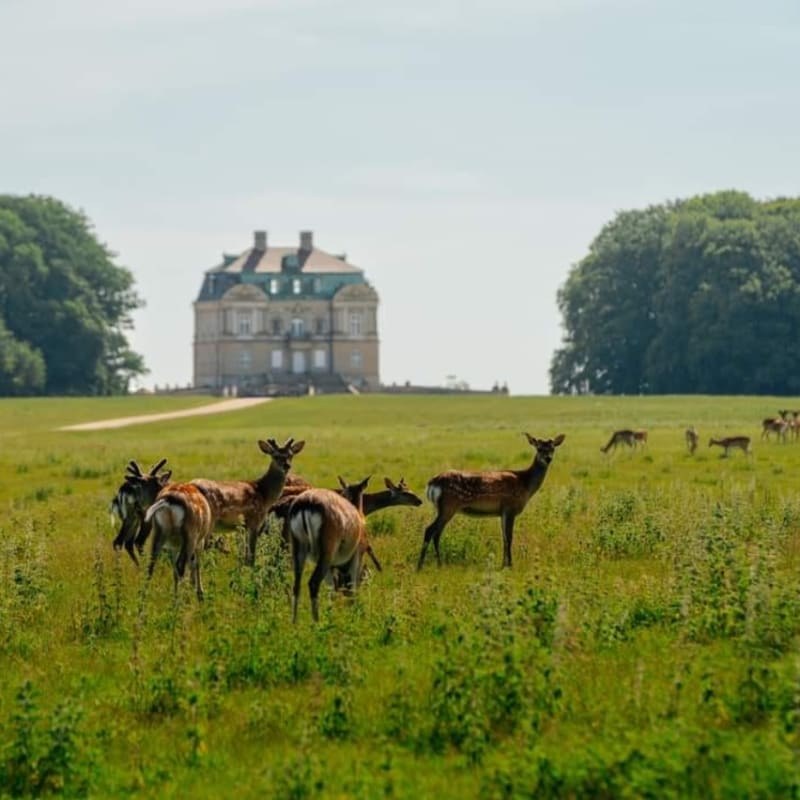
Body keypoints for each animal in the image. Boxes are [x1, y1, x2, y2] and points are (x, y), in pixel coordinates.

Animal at [287, 475, 373, 622]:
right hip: (326, 553)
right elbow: (351, 586)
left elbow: (332, 589)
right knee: (313, 582)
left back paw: (294, 623)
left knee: (296, 585)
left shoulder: (332, 566)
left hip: (299, 548)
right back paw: (316, 622)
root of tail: (306, 503)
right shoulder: (357, 556)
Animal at [417, 433, 565, 571]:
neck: (525, 484)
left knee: (437, 533)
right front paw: (510, 565)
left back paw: (438, 564)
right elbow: (509, 537)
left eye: (552, 448)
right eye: (539, 448)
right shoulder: (510, 507)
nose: (548, 458)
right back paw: (421, 566)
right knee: (430, 530)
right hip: (448, 506)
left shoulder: (502, 512)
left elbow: (504, 537)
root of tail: (432, 483)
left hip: (442, 508)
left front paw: (503, 564)